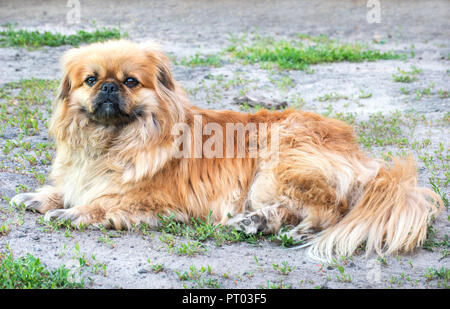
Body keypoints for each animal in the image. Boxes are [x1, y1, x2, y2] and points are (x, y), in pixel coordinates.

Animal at [11, 38, 442, 260]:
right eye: (91, 80)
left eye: (131, 81)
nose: (109, 87)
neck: (113, 140)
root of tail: (365, 160)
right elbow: (66, 188)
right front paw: (38, 197)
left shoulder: (152, 201)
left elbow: (103, 203)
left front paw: (72, 213)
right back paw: (251, 224)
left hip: (276, 166)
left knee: (330, 209)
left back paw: (288, 231)